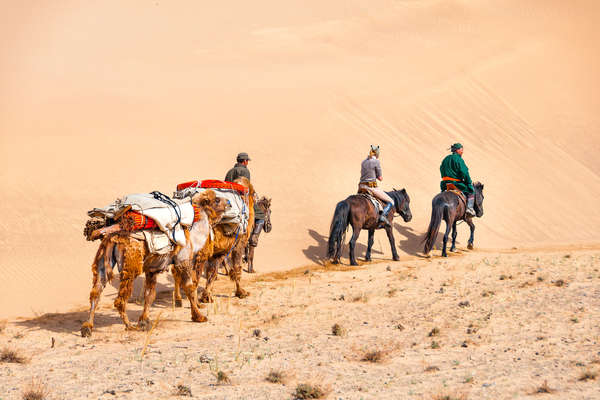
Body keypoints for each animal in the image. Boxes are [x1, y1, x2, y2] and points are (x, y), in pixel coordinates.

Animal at [81, 189, 226, 336]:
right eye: (216, 200)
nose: (228, 203)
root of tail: (111, 236)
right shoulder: (183, 260)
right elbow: (190, 287)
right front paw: (199, 316)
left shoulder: (152, 269)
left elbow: (149, 294)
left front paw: (144, 321)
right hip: (130, 264)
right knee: (119, 300)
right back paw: (129, 326)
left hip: (103, 259)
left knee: (96, 291)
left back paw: (87, 327)